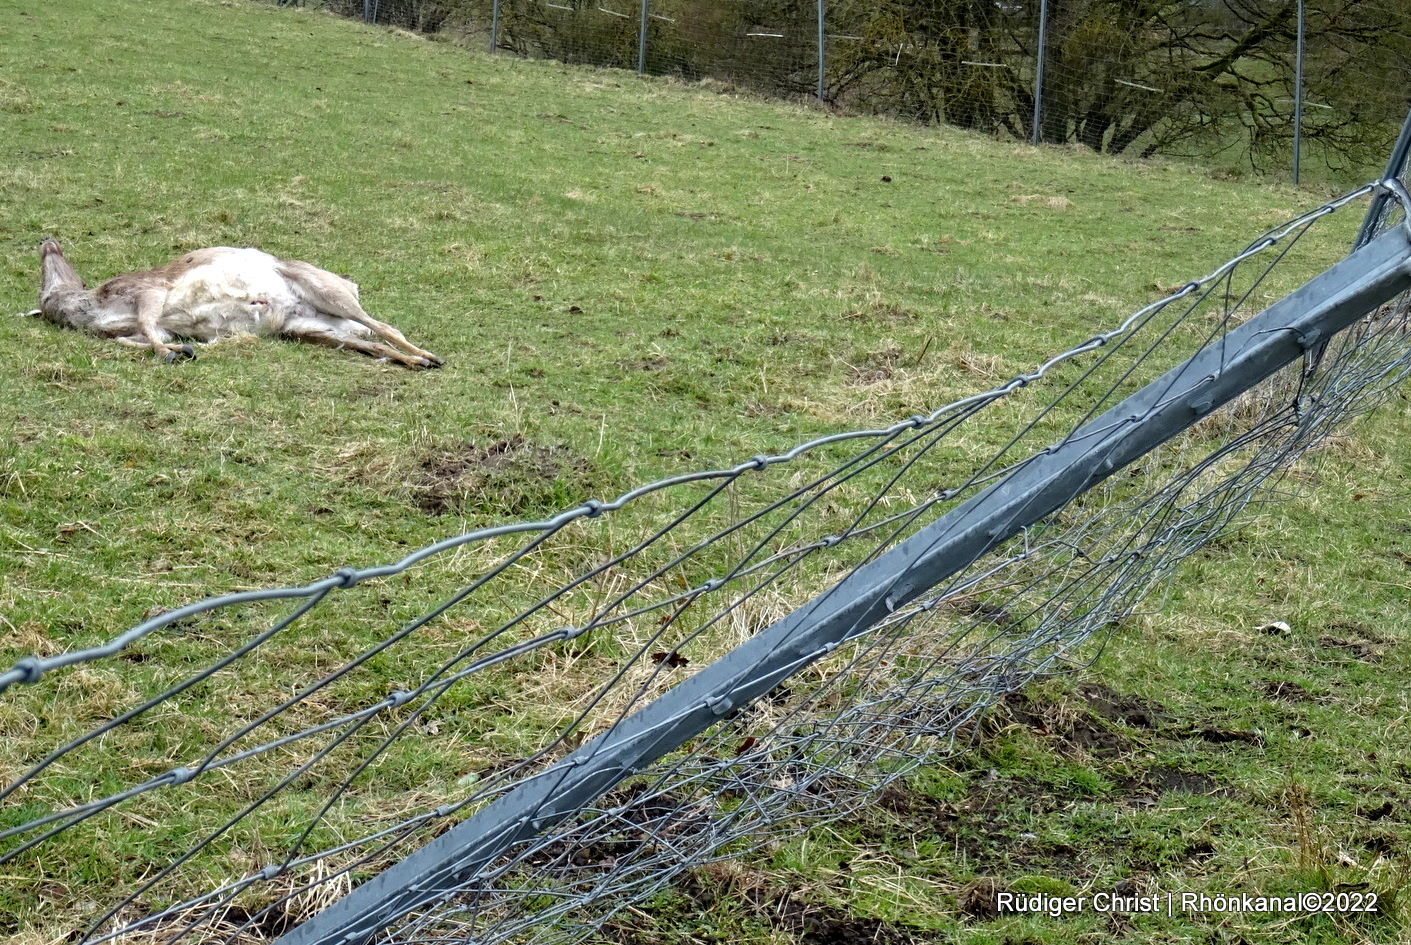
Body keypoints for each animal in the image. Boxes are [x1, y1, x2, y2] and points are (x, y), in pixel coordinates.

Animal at [31, 236, 440, 369]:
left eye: (50, 277)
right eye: (45, 289)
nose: (48, 240)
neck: (95, 310)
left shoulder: (150, 291)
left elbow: (146, 327)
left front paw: (171, 354)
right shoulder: (144, 324)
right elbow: (134, 338)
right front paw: (181, 350)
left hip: (326, 290)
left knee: (385, 326)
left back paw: (431, 357)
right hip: (308, 329)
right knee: (371, 344)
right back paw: (416, 362)